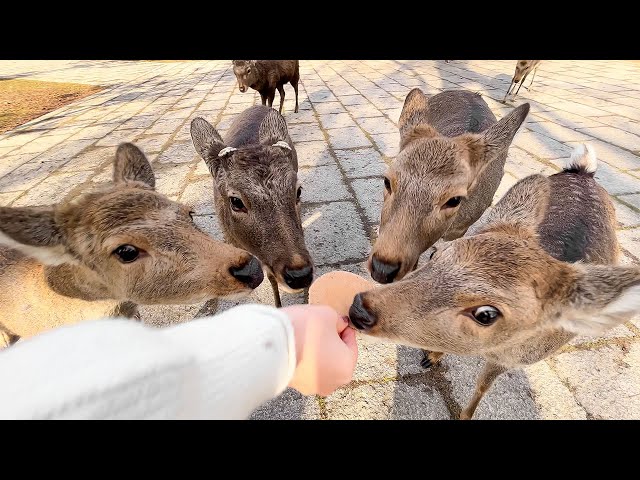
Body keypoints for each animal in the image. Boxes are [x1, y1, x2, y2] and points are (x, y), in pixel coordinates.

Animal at [350, 143, 640, 420]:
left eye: (486, 314)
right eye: (437, 254)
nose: (359, 308)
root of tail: (583, 171)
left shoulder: (511, 360)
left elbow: (482, 386)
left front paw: (464, 414)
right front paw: (431, 357)